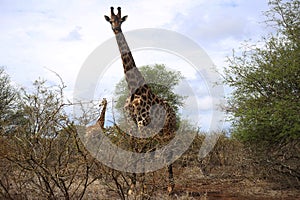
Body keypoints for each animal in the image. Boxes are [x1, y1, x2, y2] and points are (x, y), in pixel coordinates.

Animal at [104, 6, 177, 194]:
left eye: (121, 20)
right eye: (110, 20)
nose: (116, 29)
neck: (133, 89)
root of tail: (174, 112)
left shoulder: (142, 122)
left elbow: (141, 153)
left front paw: (141, 188)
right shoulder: (132, 123)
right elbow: (135, 152)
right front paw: (133, 187)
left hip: (168, 131)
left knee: (170, 153)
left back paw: (171, 188)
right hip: (158, 133)